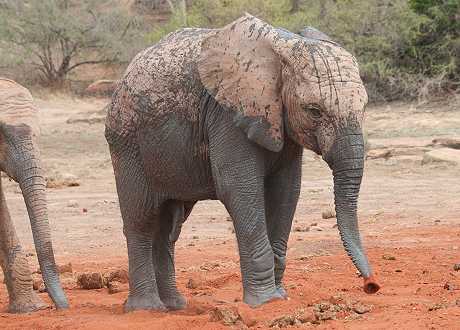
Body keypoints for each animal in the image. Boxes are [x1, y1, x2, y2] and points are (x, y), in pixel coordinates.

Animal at [105, 13, 380, 312]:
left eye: (365, 106)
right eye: (314, 111)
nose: (371, 286)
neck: (282, 48)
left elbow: (286, 191)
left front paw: (280, 297)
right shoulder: (228, 114)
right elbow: (240, 190)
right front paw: (265, 303)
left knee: (169, 227)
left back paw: (175, 306)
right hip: (126, 140)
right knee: (141, 219)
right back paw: (147, 309)